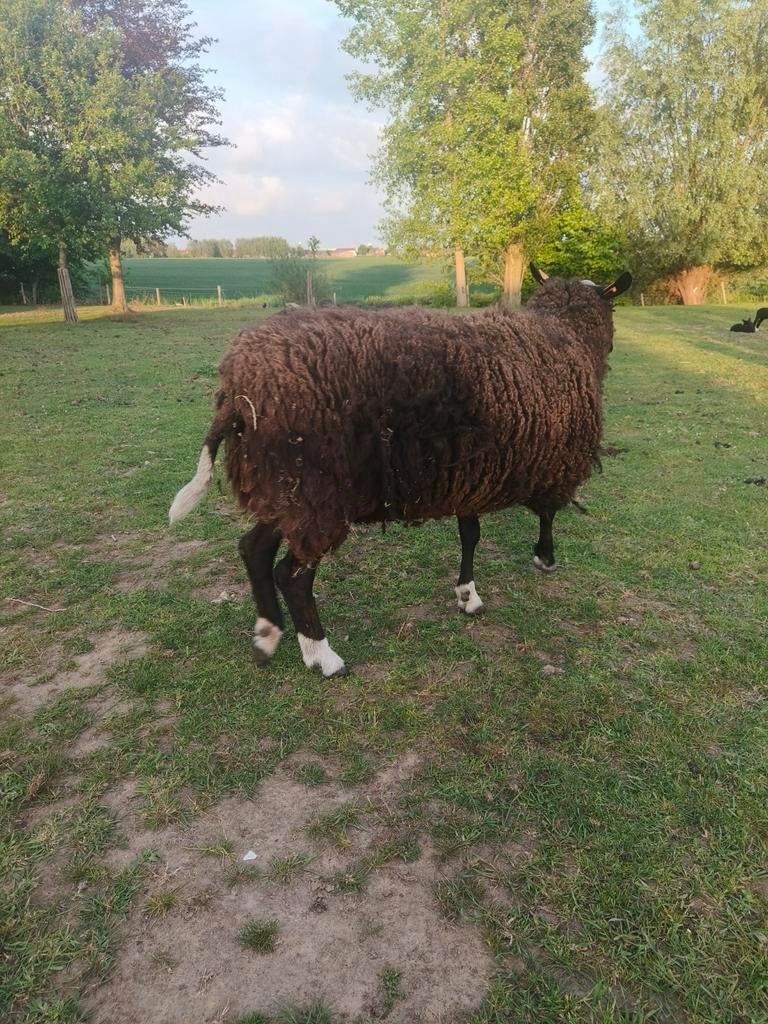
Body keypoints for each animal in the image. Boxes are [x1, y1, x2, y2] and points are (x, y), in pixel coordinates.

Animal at [169, 265, 632, 676]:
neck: (566, 334)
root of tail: (236, 390)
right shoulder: (556, 464)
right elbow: (549, 513)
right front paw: (545, 557)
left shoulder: (472, 473)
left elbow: (471, 534)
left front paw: (467, 595)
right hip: (316, 492)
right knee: (292, 576)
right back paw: (323, 657)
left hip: (286, 489)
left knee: (254, 549)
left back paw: (267, 635)